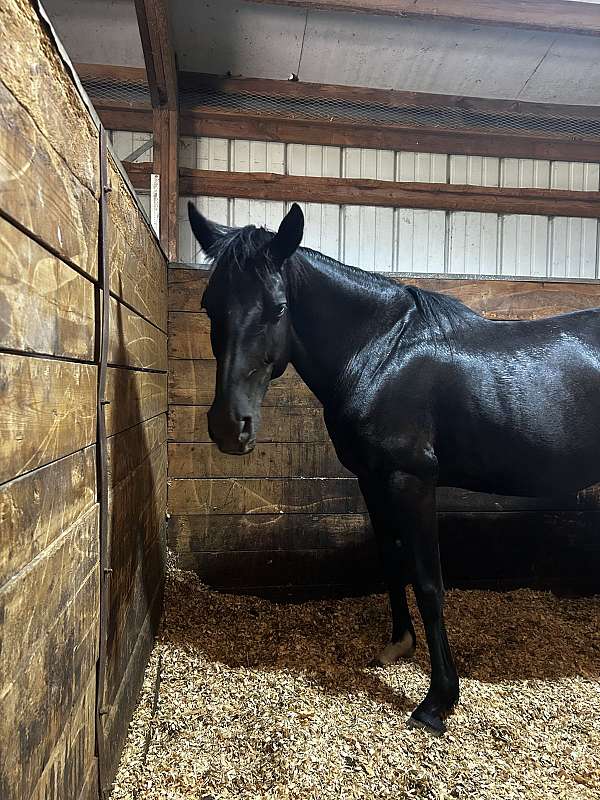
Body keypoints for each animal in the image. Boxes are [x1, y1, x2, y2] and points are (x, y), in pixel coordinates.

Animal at [188, 201, 600, 735]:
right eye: (209, 305)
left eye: (277, 308)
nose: (227, 426)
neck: (380, 355)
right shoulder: (372, 478)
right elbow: (391, 560)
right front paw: (400, 644)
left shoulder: (412, 481)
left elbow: (428, 582)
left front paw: (437, 702)